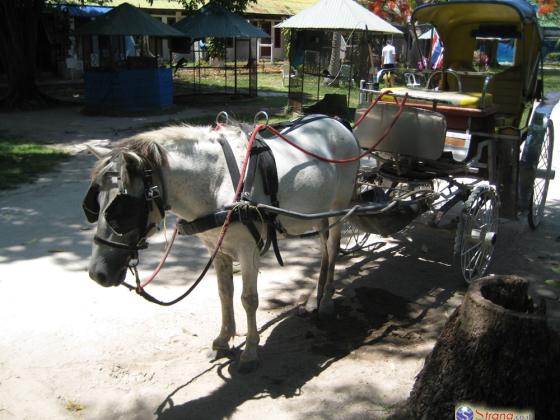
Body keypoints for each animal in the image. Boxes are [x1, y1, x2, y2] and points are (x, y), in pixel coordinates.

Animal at [86, 114, 360, 368]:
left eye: (122, 210)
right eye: (95, 204)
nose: (97, 274)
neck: (216, 182)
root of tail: (338, 122)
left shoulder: (248, 250)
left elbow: (249, 299)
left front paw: (250, 351)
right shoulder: (216, 249)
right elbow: (224, 293)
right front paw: (223, 340)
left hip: (338, 208)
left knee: (333, 249)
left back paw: (326, 302)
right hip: (320, 214)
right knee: (324, 250)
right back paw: (317, 295)